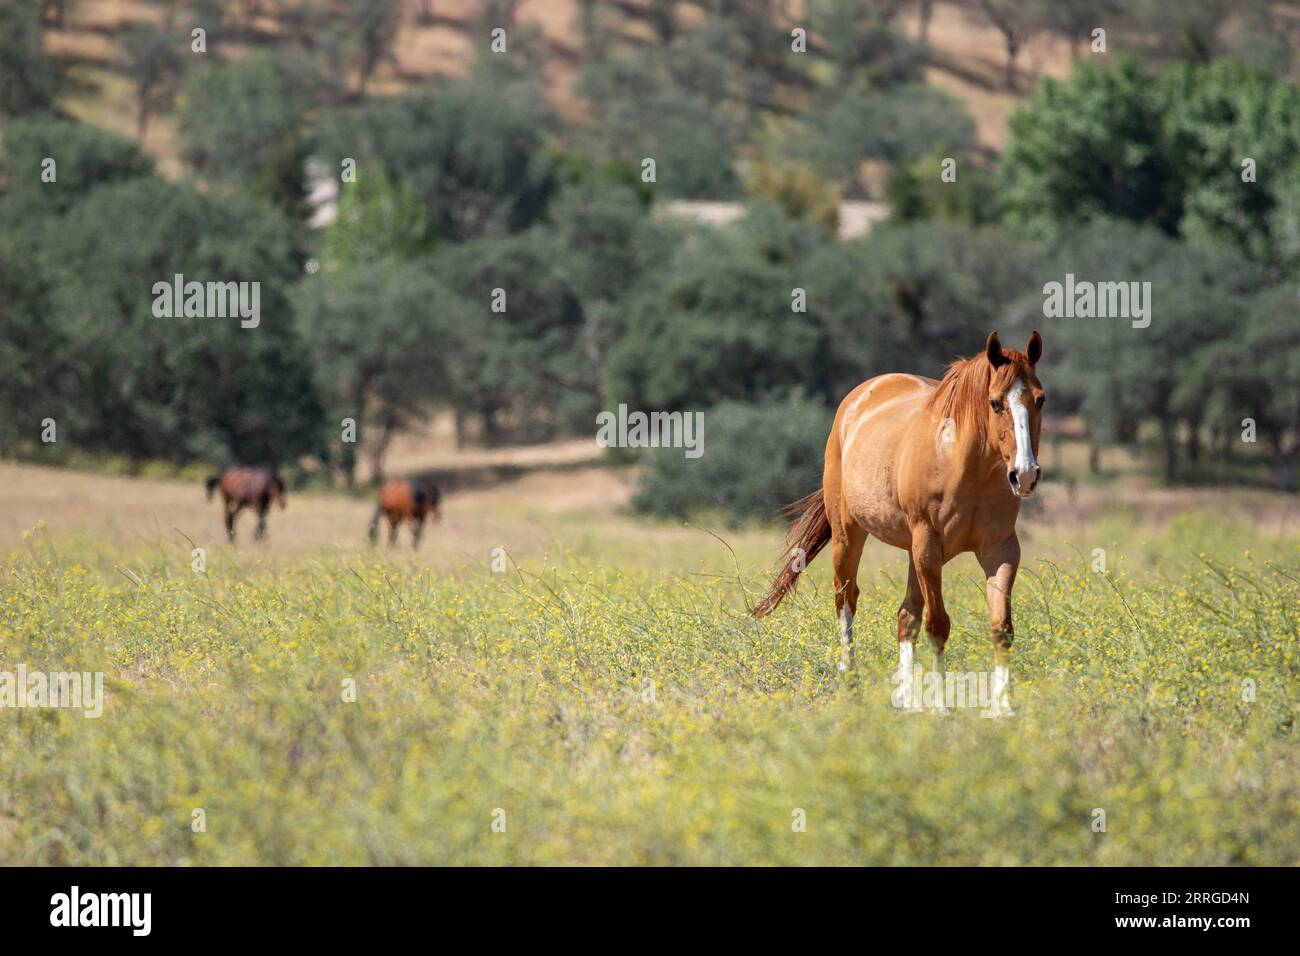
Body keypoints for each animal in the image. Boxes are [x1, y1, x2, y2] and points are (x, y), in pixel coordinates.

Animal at [754, 332, 1045, 712]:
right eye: (995, 403)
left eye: (1040, 399)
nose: (1024, 475)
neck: (963, 465)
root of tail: (859, 397)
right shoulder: (928, 547)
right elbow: (938, 624)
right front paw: (941, 704)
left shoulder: (1000, 550)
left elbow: (1001, 627)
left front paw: (1003, 706)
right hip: (850, 536)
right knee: (846, 600)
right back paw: (851, 682)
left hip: (913, 553)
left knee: (906, 616)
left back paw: (905, 696)